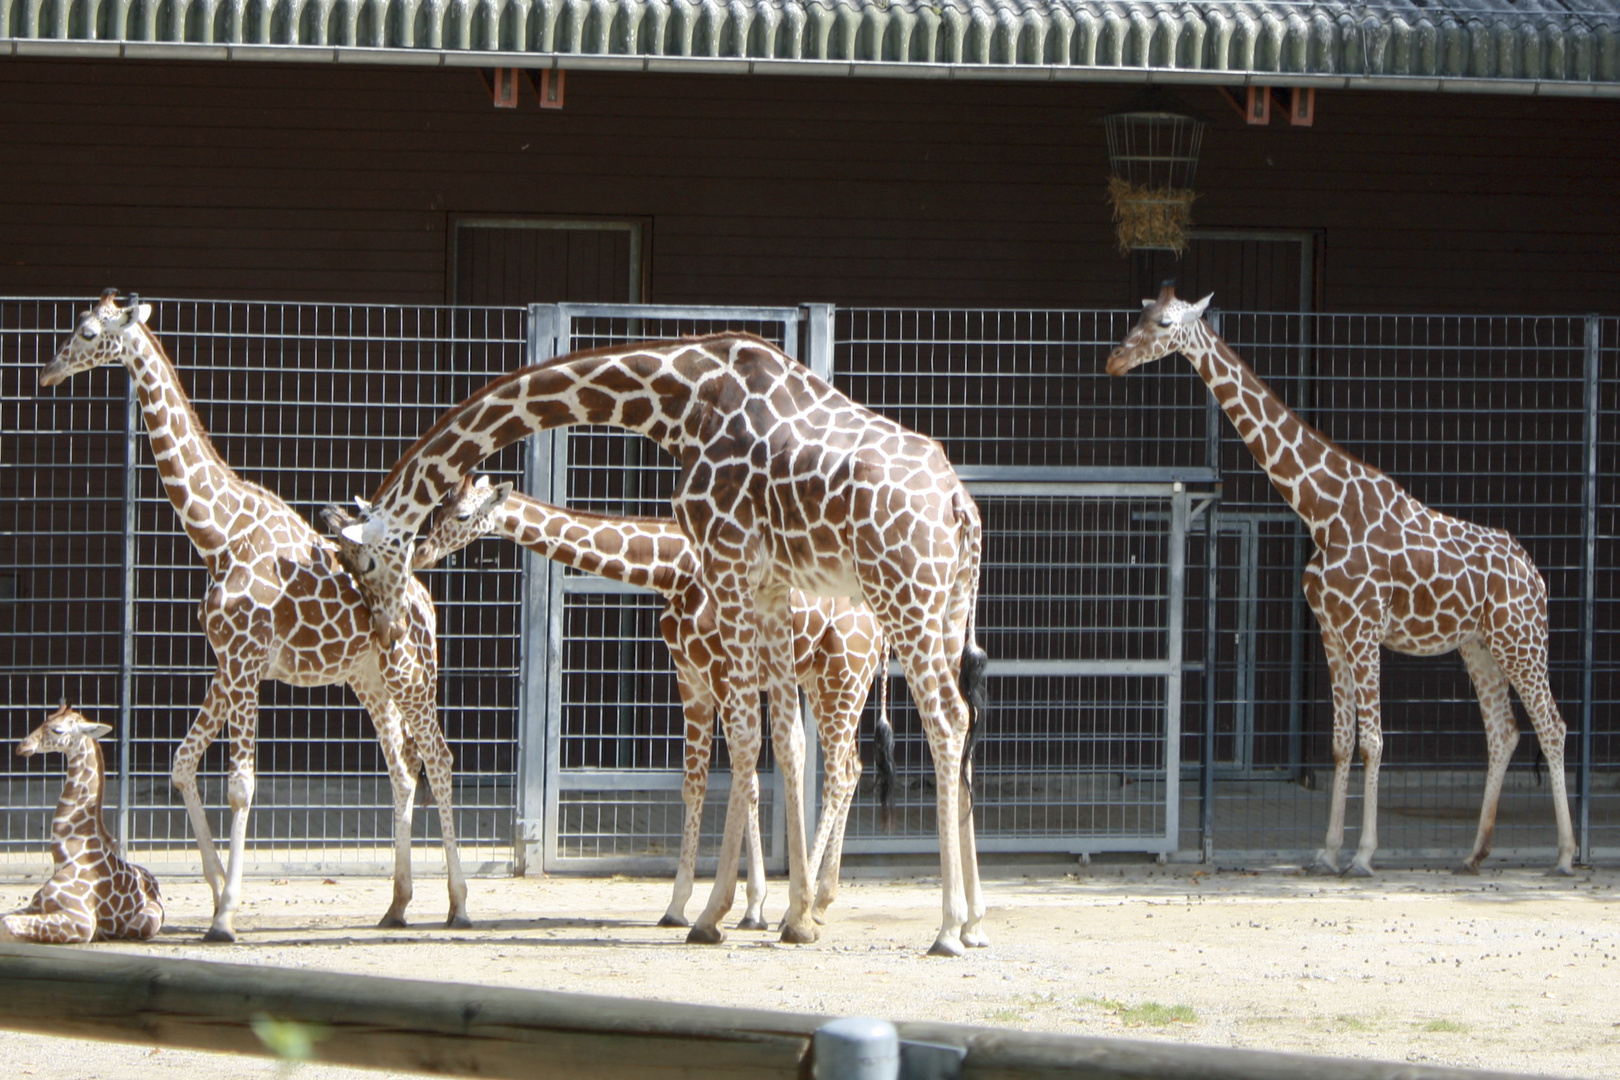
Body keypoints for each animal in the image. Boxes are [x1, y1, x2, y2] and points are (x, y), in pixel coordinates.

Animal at [0, 702, 166, 945]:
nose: (23, 746)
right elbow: (5, 918)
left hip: (144, 923)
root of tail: (155, 885)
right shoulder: (36, 905)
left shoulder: (82, 921)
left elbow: (7, 923)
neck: (66, 855)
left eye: (58, 730)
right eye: (45, 719)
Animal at [39, 291, 473, 939]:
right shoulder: (228, 664)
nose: (48, 371)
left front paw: (225, 913)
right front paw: (217, 888)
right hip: (368, 678)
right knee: (402, 768)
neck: (216, 534)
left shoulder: (245, 663)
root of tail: (425, 601)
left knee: (439, 760)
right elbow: (181, 764)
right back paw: (397, 904)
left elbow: (241, 785)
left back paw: (458, 904)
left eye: (89, 332)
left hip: (411, 672)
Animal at [411, 472, 894, 932]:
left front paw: (747, 907)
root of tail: (880, 618)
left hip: (844, 674)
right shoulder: (691, 677)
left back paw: (804, 905)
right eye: (437, 508)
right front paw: (686, 906)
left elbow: (750, 782)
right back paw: (822, 900)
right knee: (852, 766)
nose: (421, 553)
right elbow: (698, 783)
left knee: (838, 772)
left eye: (461, 516)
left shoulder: (721, 673)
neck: (673, 571)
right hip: (820, 678)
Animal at [1108, 284, 1574, 880]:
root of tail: (1535, 574)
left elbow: (1373, 740)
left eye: (1165, 324)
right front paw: (1327, 851)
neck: (1322, 509)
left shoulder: (1364, 628)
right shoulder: (1331, 631)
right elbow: (1338, 743)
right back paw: (1475, 853)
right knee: (1504, 731)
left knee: (1552, 726)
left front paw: (1364, 854)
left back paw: (1565, 854)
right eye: (1139, 315)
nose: (1114, 360)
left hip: (1521, 640)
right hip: (1479, 645)